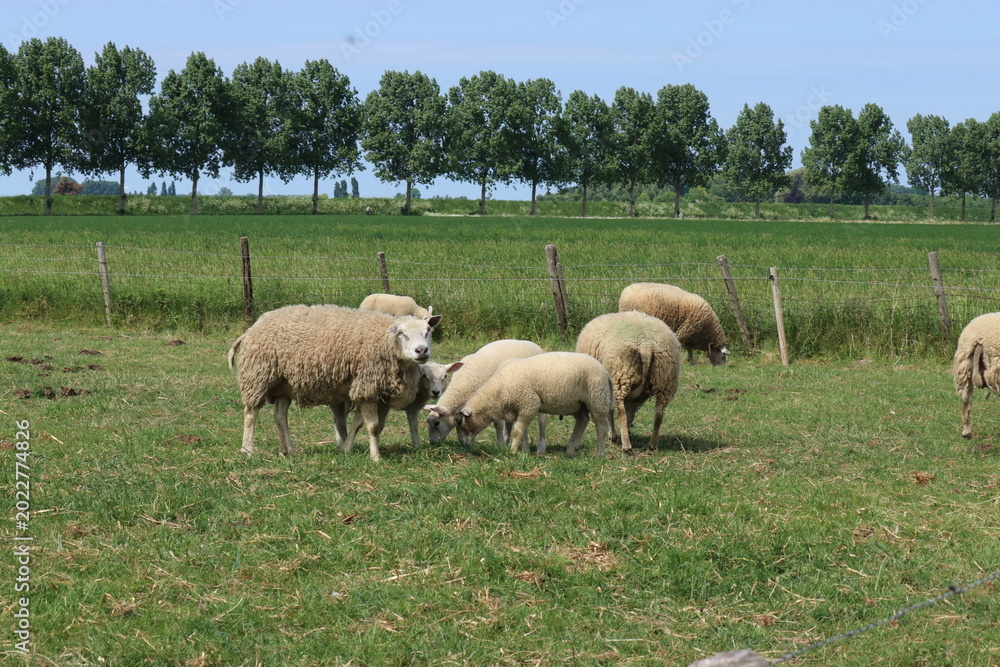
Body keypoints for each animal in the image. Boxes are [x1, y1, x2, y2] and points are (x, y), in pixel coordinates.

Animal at [227, 304, 442, 461]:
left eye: (428, 331)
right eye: (401, 334)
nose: (421, 351)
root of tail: (251, 328)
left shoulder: (381, 393)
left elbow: (365, 424)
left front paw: (348, 448)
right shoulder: (366, 386)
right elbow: (372, 426)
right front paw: (375, 456)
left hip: (283, 385)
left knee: (280, 416)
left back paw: (288, 449)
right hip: (258, 376)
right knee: (251, 414)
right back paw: (247, 449)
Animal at [453, 351, 614, 456]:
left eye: (460, 423)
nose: (463, 445)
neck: (498, 391)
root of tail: (605, 371)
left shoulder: (529, 403)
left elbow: (518, 431)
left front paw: (513, 452)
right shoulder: (522, 408)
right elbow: (523, 431)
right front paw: (524, 451)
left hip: (597, 399)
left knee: (601, 427)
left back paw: (599, 454)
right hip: (576, 404)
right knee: (583, 420)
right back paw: (570, 450)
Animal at [576, 311, 681, 453]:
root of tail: (646, 344)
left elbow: (611, 412)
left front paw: (613, 436)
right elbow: (630, 413)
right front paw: (625, 432)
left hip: (620, 376)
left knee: (621, 412)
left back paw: (626, 446)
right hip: (665, 380)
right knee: (658, 414)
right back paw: (652, 445)